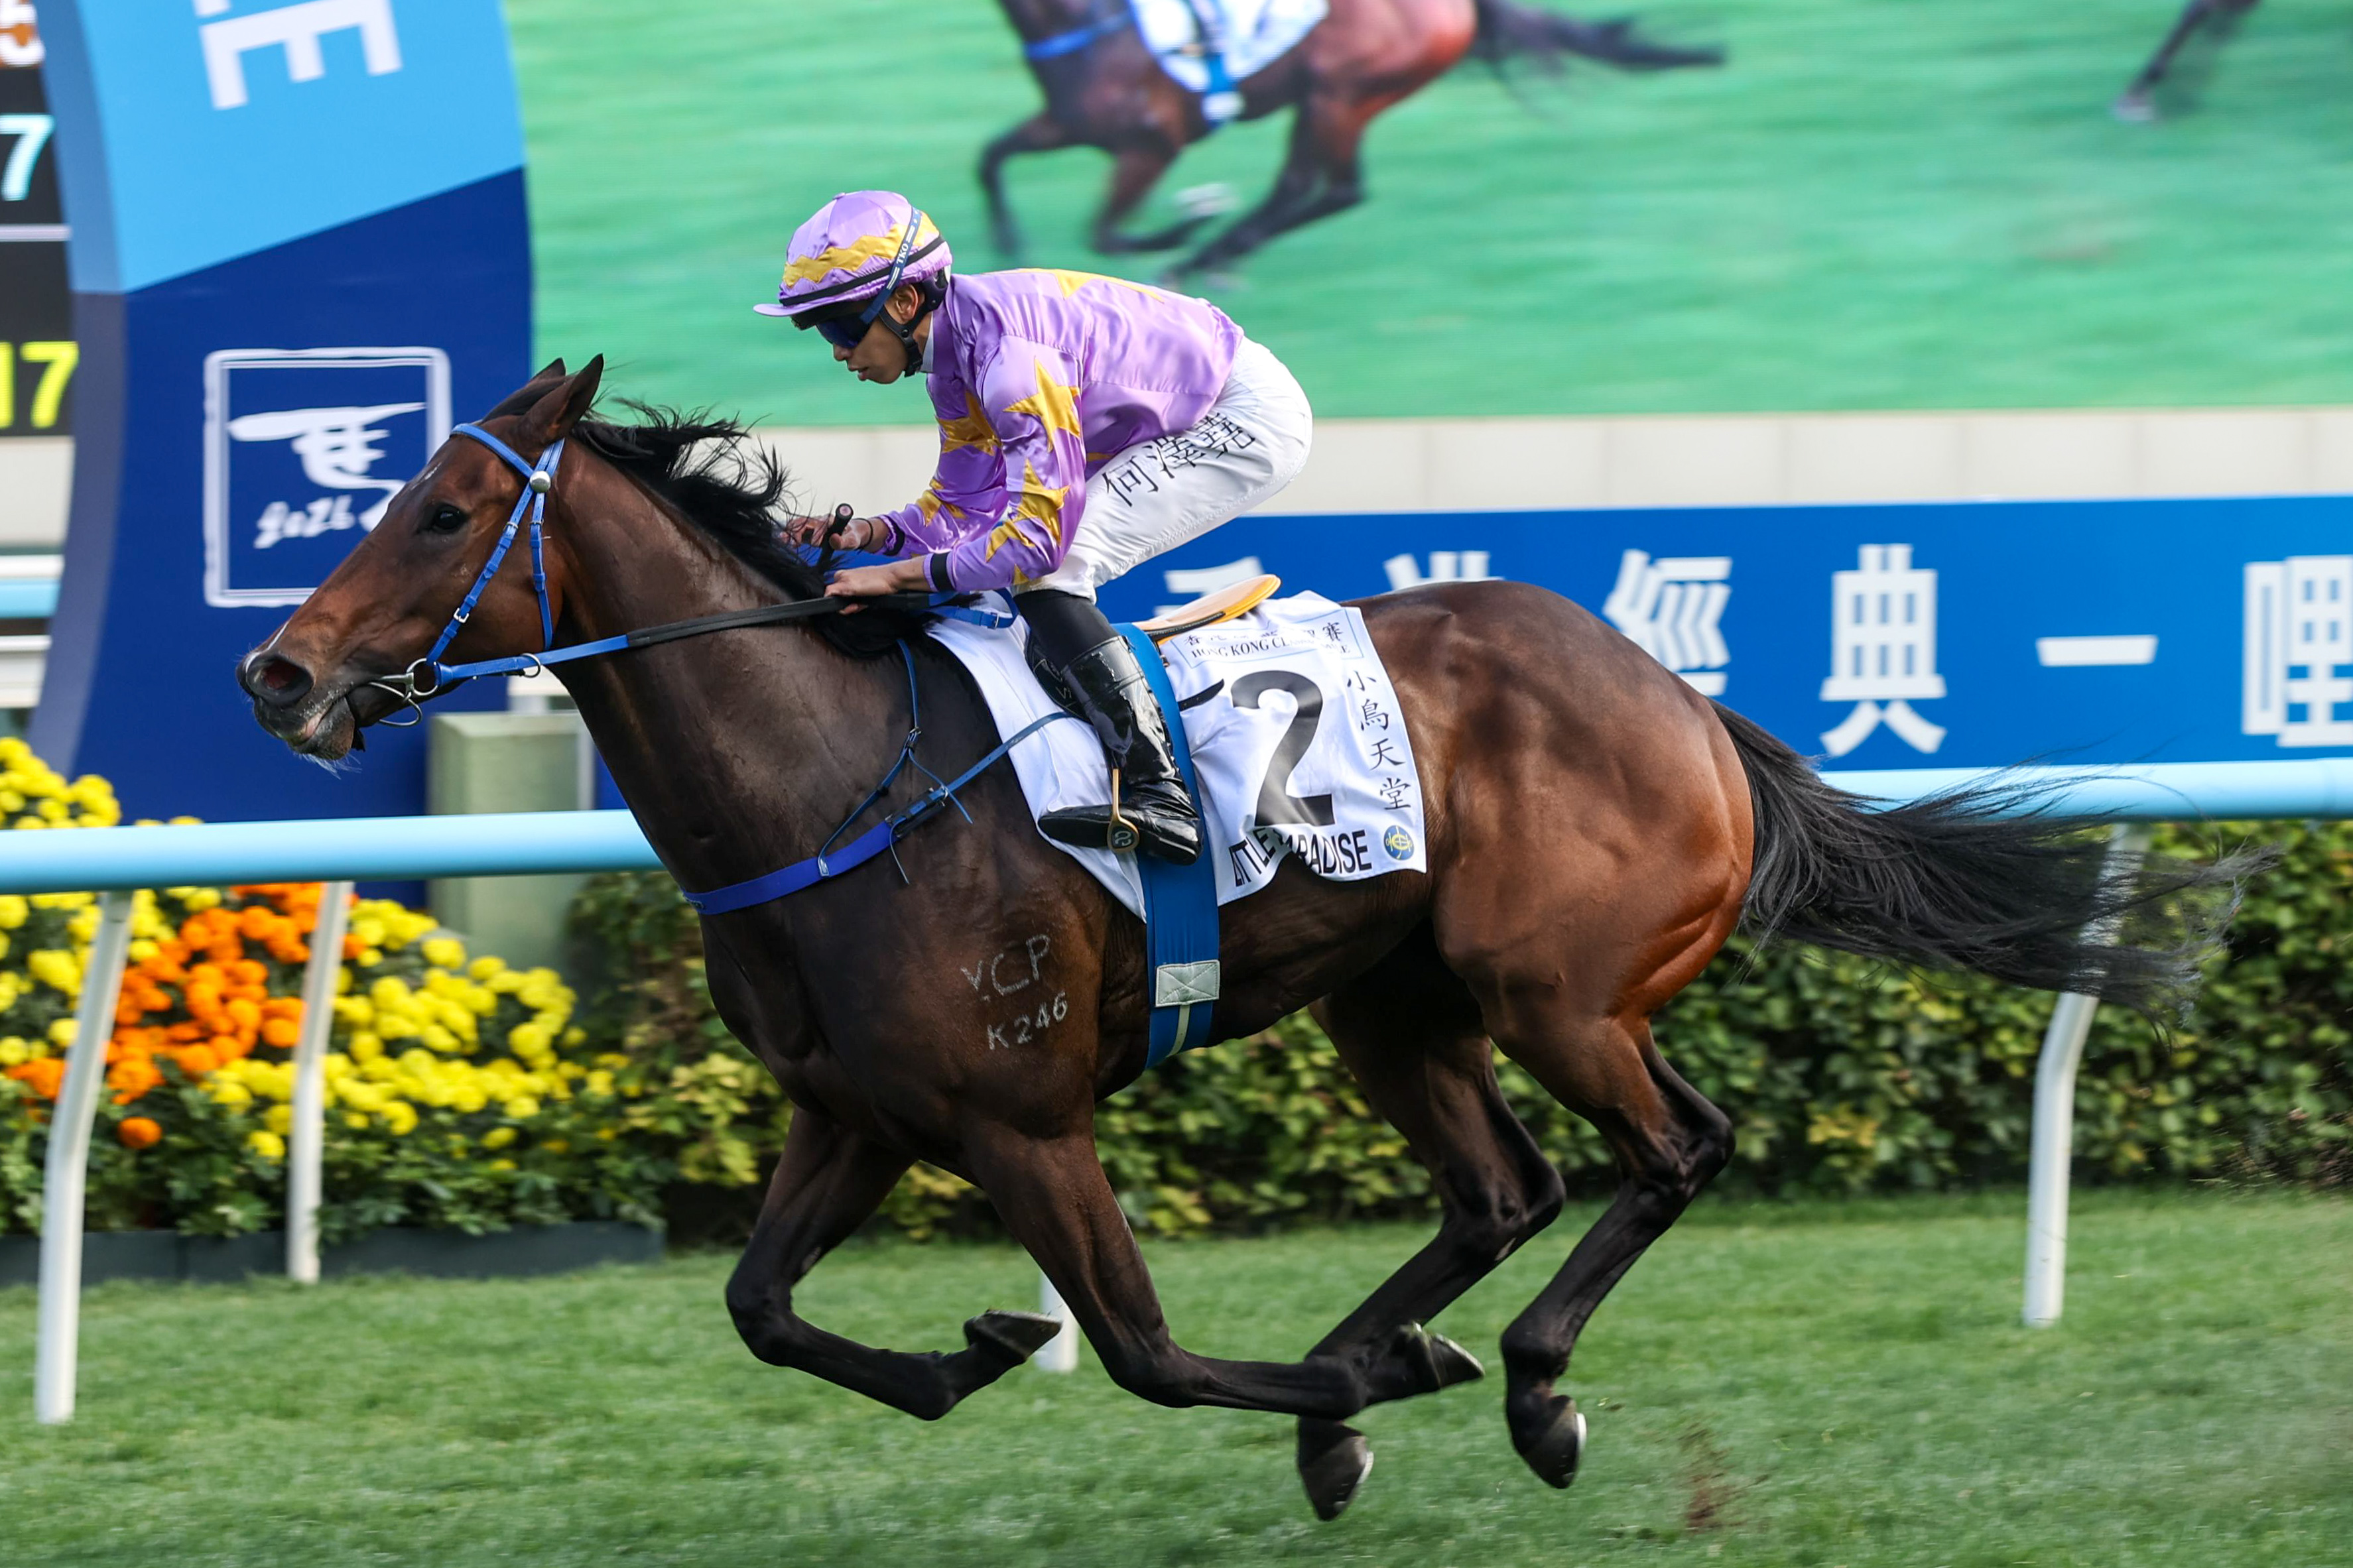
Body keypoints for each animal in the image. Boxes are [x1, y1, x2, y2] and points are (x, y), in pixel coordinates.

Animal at [240, 359, 2245, 1521]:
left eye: (438, 509)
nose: (278, 672)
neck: (831, 777)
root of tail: (1679, 698)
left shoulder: (1024, 1118)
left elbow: (1140, 1345)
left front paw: (1346, 1388)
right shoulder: (860, 1111)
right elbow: (761, 1309)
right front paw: (983, 1348)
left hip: (1555, 988)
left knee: (1674, 1145)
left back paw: (1519, 1381)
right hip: (1396, 1001)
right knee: (1501, 1187)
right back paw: (1420, 1353)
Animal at [983, 0, 1722, 276]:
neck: (1083, 20)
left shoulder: (1151, 145)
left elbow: (1105, 234)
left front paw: (1186, 225)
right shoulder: (1067, 124)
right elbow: (990, 156)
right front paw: (1006, 247)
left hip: (1336, 95)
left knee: (1326, 189)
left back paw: (1206, 258)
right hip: (1334, 102)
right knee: (1317, 189)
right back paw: (1220, 255)